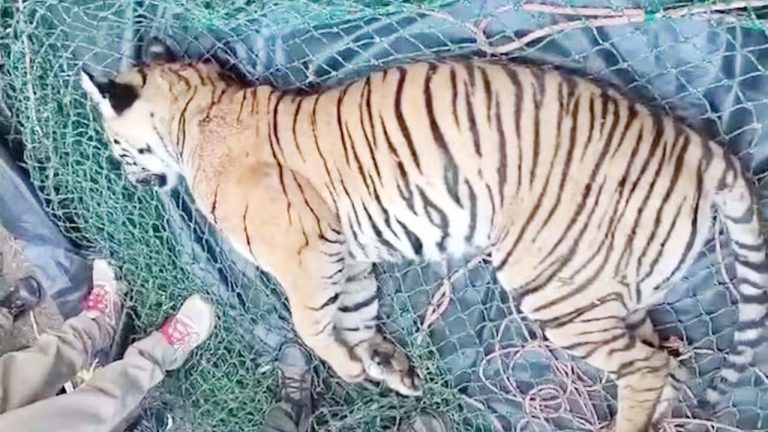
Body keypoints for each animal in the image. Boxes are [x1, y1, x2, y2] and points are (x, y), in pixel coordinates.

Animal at [79, 40, 768, 431]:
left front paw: (350, 367)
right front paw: (384, 367)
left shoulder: (307, 250)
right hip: (619, 293)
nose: (124, 174)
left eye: (112, 141)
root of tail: (703, 148)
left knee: (648, 369)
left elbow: (311, 322)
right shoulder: (348, 256)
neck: (202, 113)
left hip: (556, 284)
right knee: (668, 362)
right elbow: (354, 315)